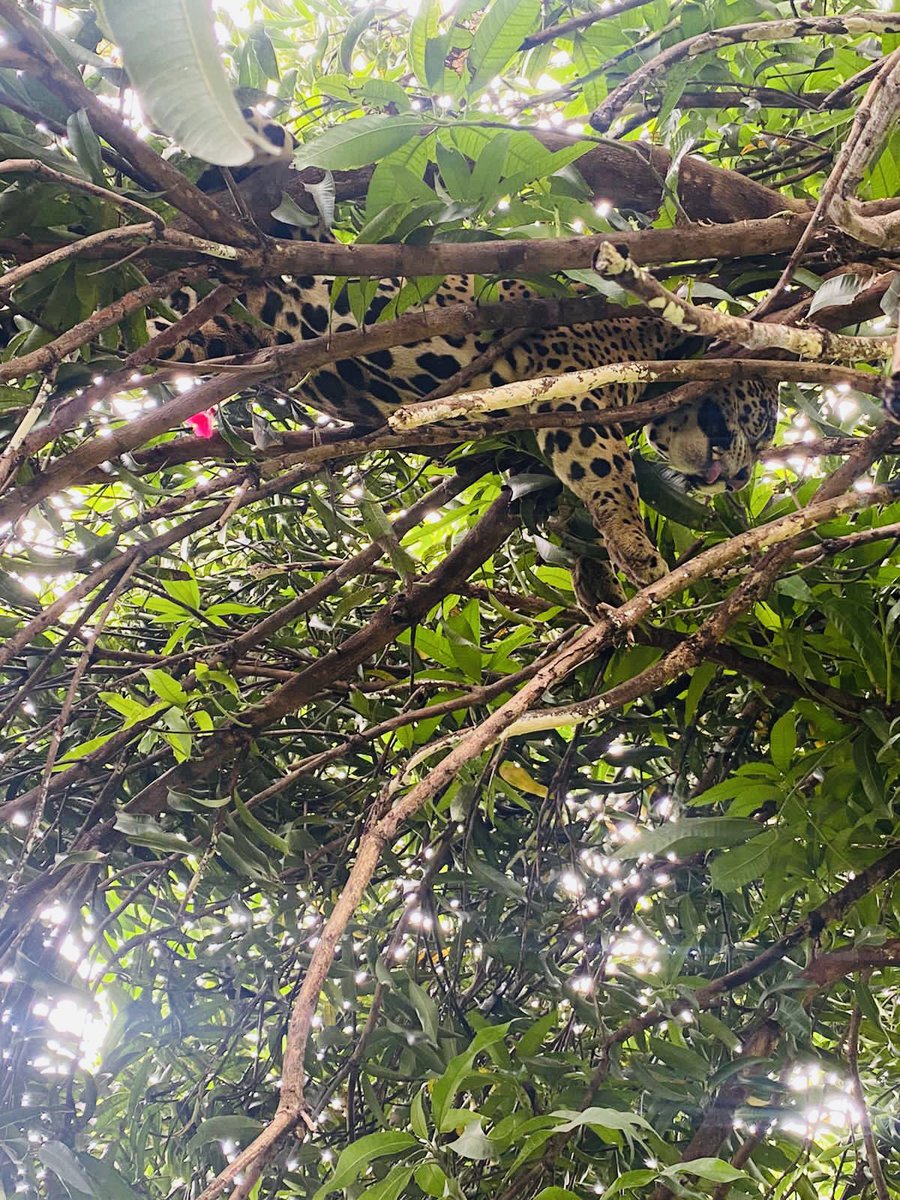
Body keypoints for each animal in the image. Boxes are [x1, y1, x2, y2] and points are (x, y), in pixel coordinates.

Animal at [153, 113, 779, 588]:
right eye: (764, 425)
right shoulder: (574, 395)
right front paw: (638, 551)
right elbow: (608, 474)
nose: (740, 481)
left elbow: (549, 495)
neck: (657, 340)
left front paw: (598, 577)